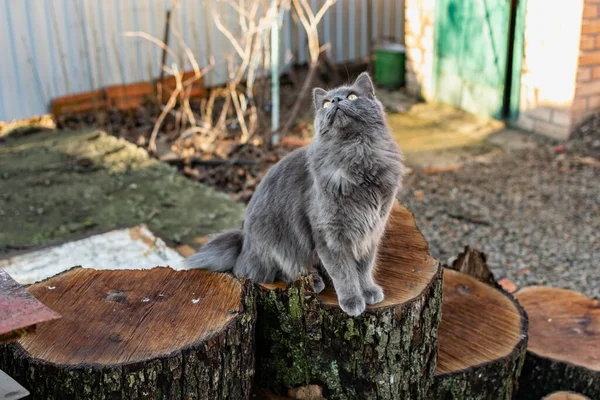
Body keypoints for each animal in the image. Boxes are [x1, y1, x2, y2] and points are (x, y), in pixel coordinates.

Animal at [188, 72, 404, 316]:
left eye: (352, 96)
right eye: (326, 103)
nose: (336, 101)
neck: (356, 154)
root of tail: (243, 243)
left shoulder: (371, 231)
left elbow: (364, 268)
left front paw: (368, 291)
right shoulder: (330, 236)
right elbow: (344, 273)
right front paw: (352, 301)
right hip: (278, 245)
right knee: (276, 272)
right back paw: (315, 280)